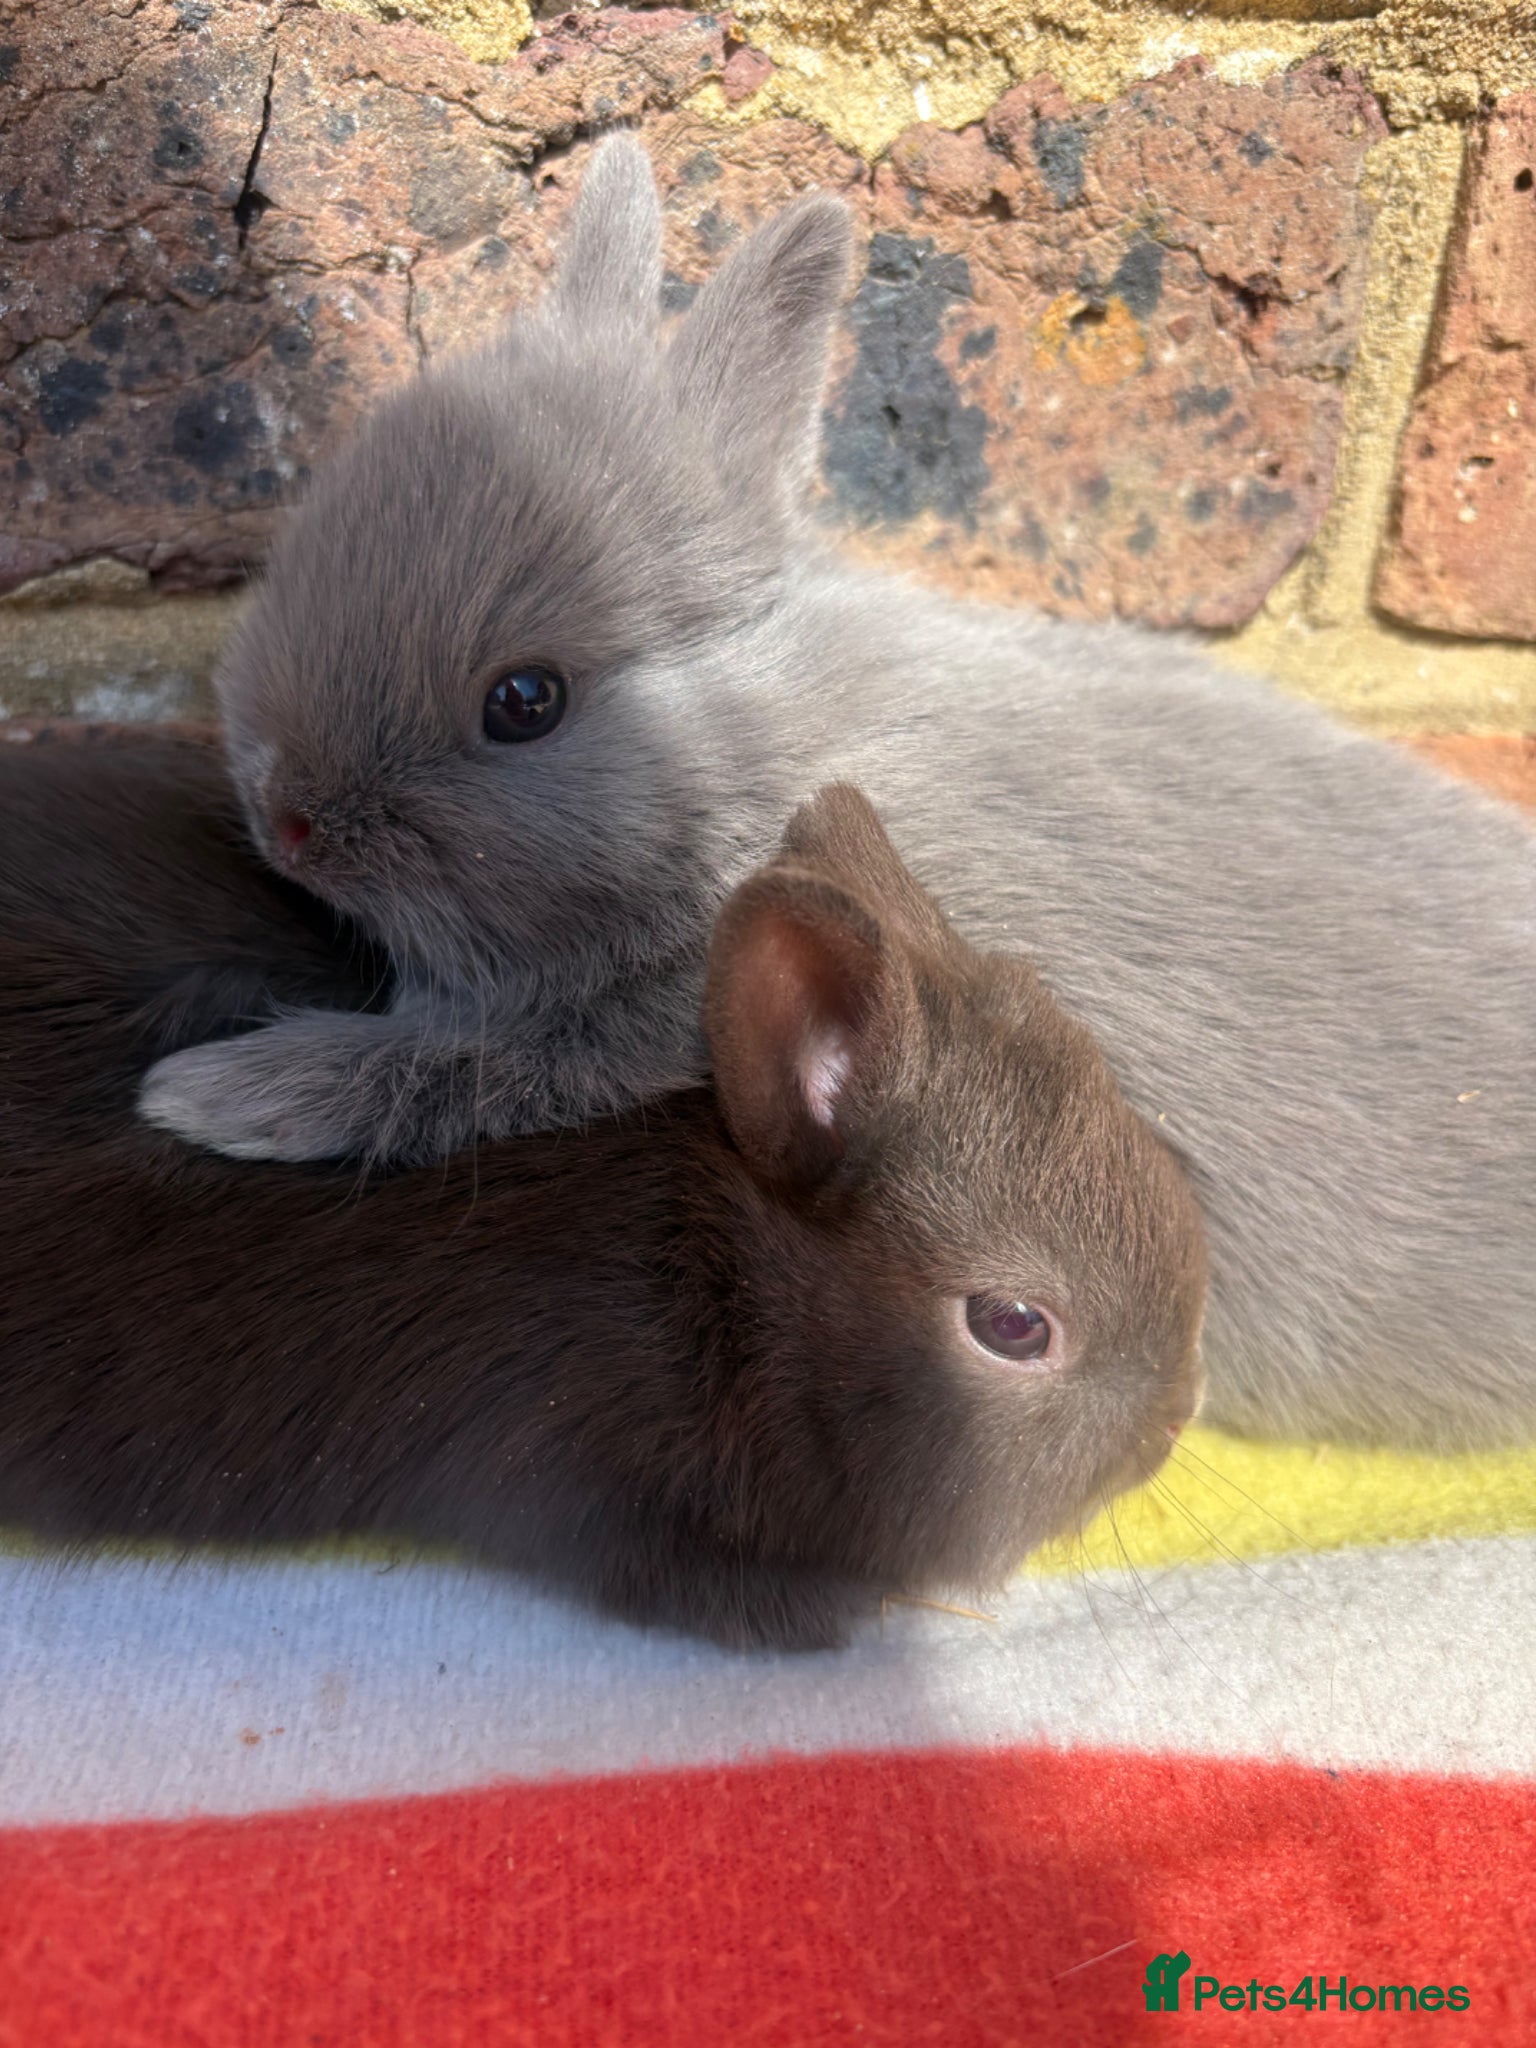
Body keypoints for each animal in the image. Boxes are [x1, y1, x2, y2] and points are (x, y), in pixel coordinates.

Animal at [137, 136, 1536, 1453]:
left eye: (525, 700)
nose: (287, 821)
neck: (763, 751)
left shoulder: (643, 1024)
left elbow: (468, 1066)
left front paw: (218, 1095)